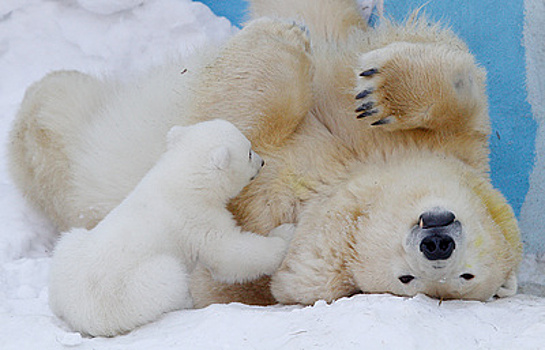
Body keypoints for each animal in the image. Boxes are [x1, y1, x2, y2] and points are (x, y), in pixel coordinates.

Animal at [7, 0, 520, 306]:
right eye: (408, 279)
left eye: (465, 279)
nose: (438, 243)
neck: (349, 177)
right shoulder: (451, 145)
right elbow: (462, 84)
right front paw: (374, 89)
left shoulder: (268, 226)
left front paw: (280, 44)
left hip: (74, 166)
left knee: (55, 122)